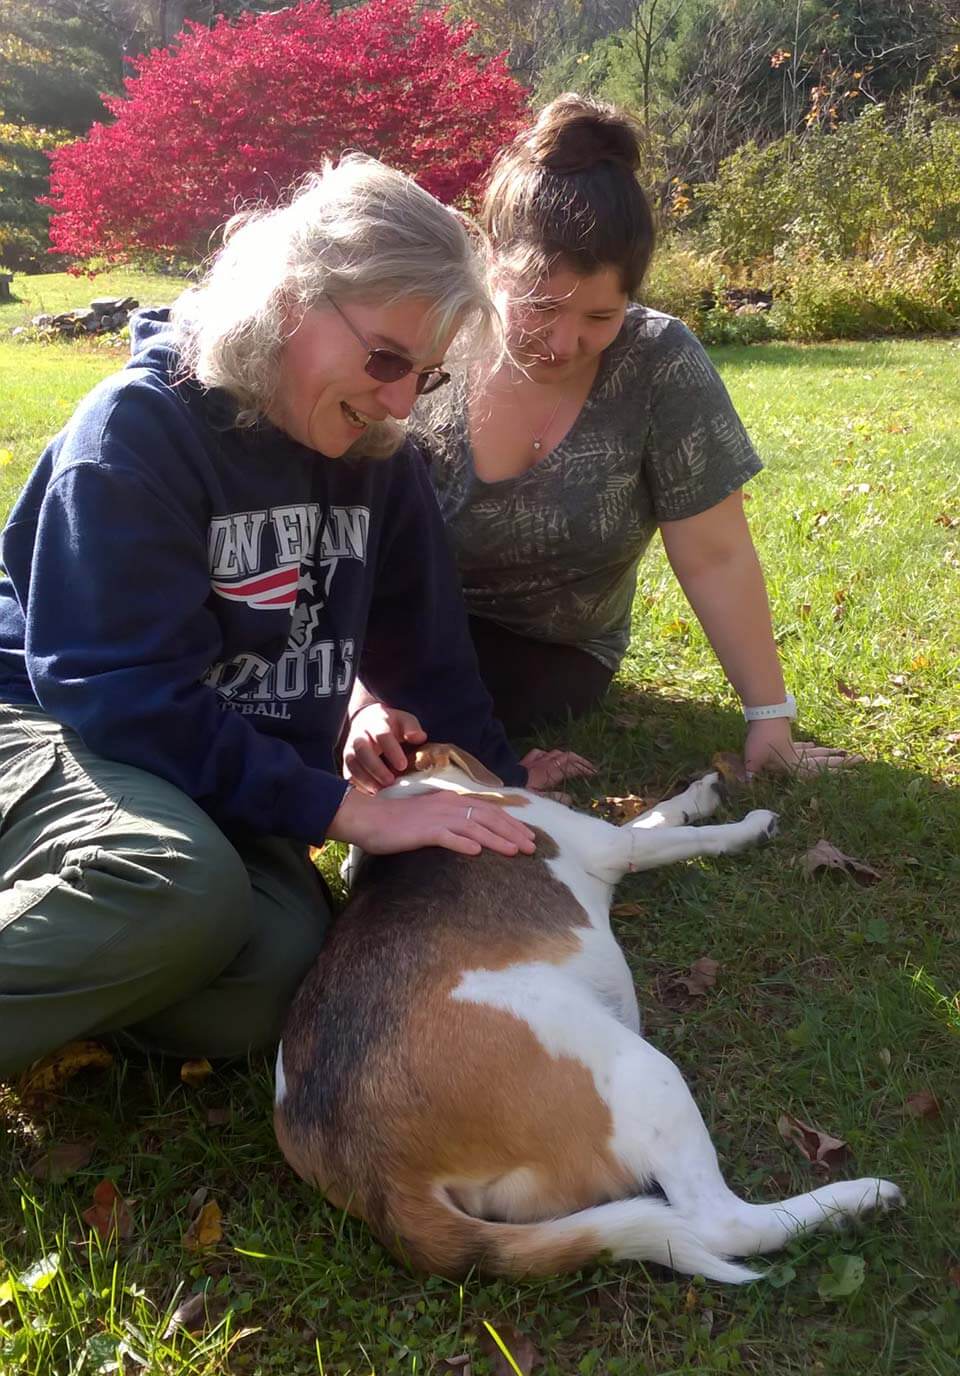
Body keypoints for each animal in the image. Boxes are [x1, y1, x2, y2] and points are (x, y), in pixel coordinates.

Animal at [270, 748, 896, 1282]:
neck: (414, 793)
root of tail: (376, 1175)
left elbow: (661, 814)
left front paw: (700, 792)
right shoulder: (612, 845)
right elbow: (679, 832)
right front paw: (745, 824)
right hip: (644, 1074)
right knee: (722, 1224)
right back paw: (859, 1200)